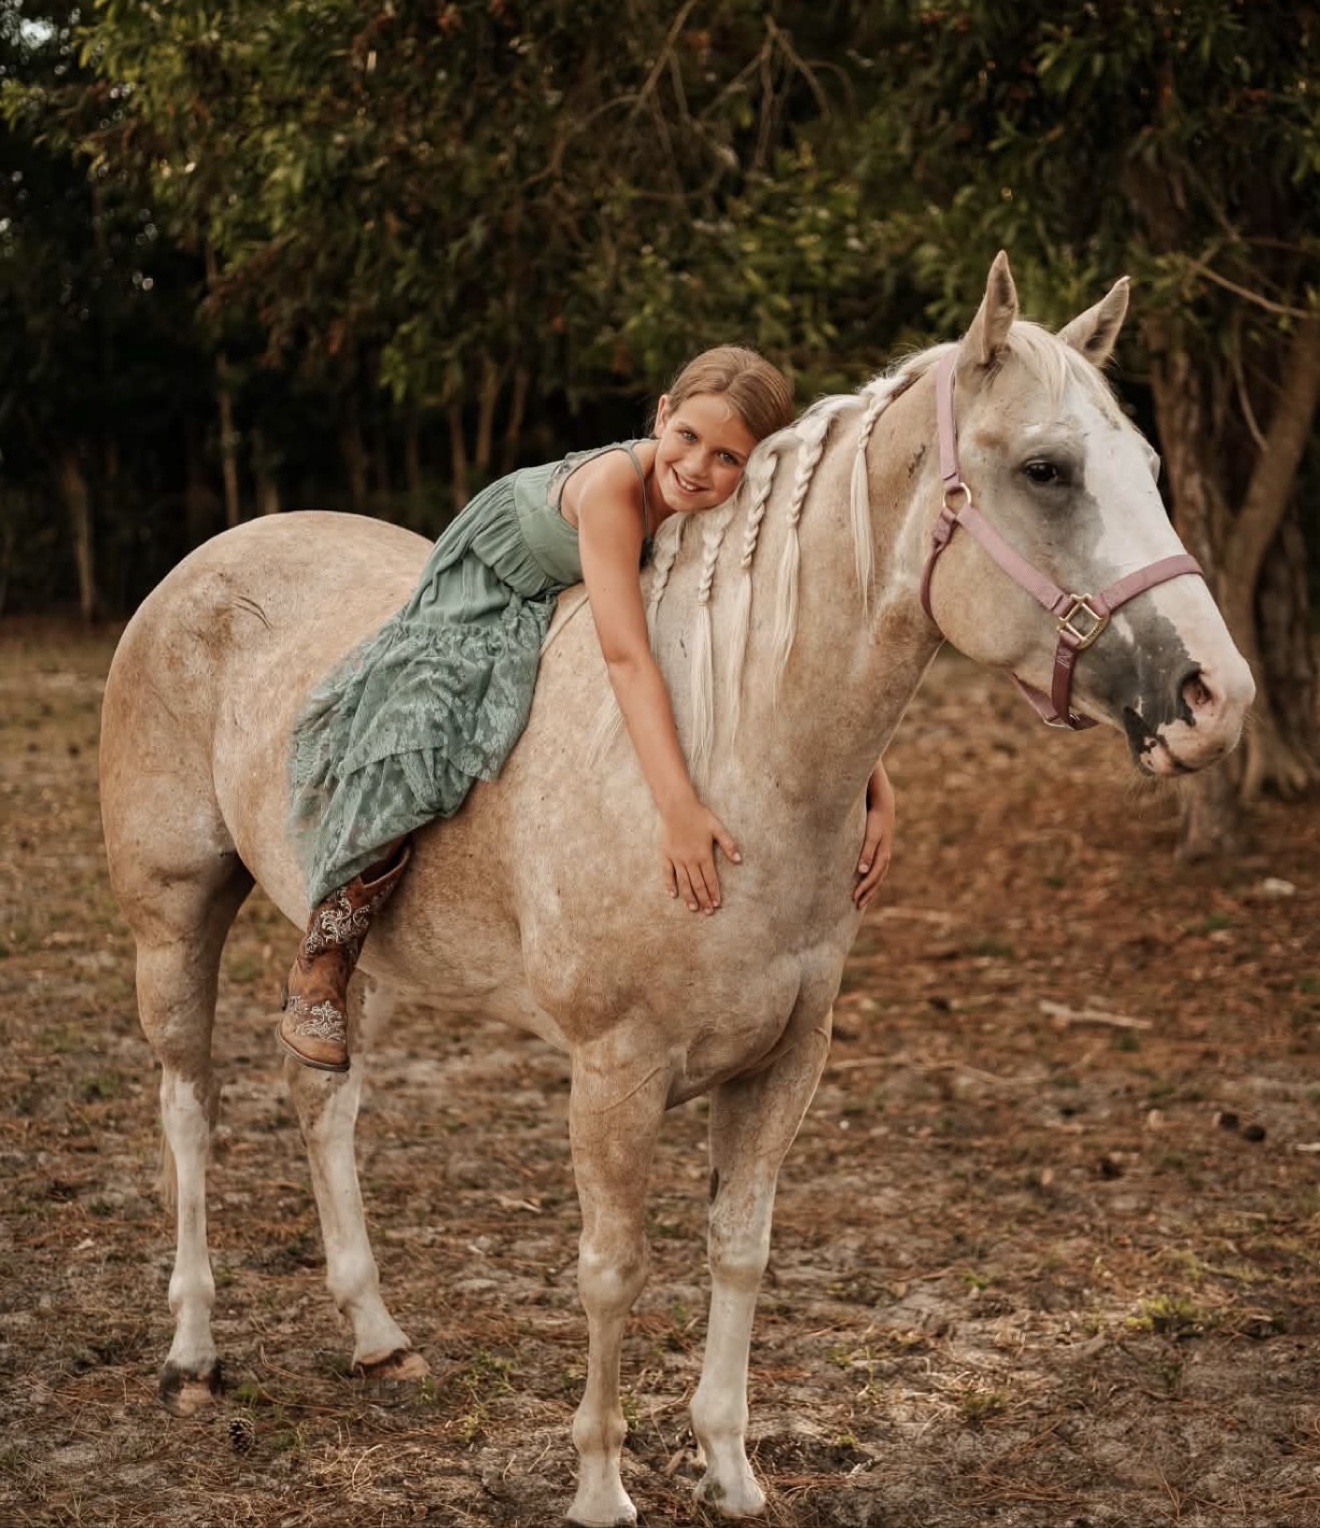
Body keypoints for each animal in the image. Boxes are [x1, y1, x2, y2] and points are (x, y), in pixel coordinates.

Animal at [99, 254, 1253, 1525]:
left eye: (1149, 468)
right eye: (1047, 470)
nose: (1216, 696)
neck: (730, 749)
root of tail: (210, 560)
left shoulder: (786, 1061)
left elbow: (739, 1250)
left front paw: (730, 1467)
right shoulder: (616, 1070)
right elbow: (613, 1269)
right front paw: (602, 1487)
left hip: (367, 958)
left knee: (322, 1094)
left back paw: (378, 1335)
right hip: (174, 915)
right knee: (190, 1107)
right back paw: (193, 1354)